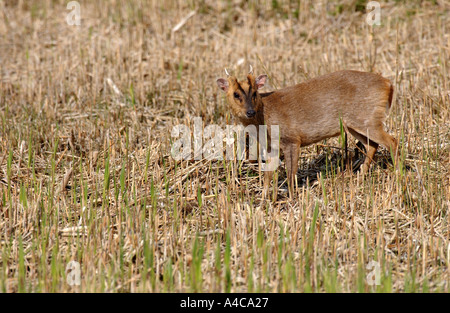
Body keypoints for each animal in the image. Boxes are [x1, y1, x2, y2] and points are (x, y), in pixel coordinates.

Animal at [218, 66, 398, 197]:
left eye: (254, 93)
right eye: (235, 94)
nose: (250, 112)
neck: (264, 116)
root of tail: (388, 84)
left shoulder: (292, 139)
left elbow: (291, 173)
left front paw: (291, 198)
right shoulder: (271, 147)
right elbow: (268, 175)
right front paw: (264, 200)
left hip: (368, 119)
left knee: (392, 141)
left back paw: (398, 173)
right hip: (356, 124)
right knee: (372, 145)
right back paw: (360, 178)